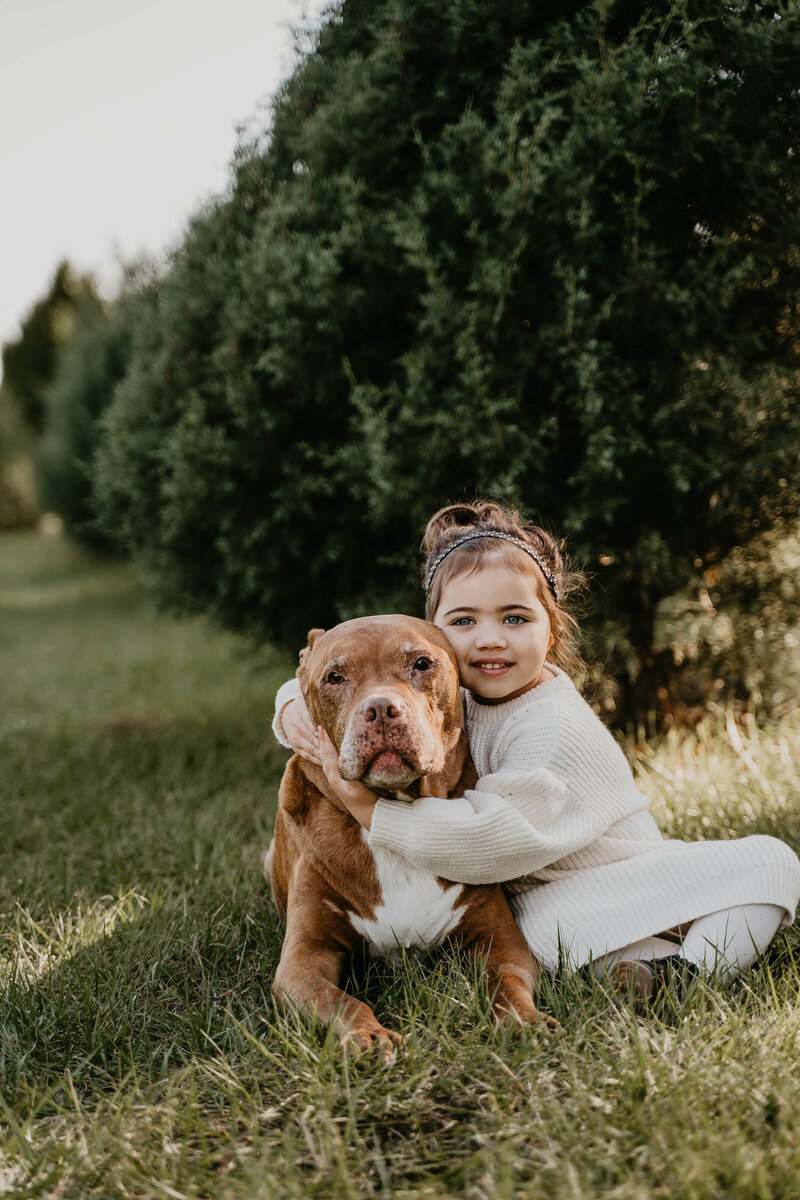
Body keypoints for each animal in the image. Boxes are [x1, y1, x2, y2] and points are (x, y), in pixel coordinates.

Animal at [267, 614, 556, 1056]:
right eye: (335, 677)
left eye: (421, 663)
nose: (380, 709)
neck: (399, 803)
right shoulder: (303, 959)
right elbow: (339, 1000)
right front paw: (367, 1037)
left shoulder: (501, 939)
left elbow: (505, 981)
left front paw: (524, 1021)